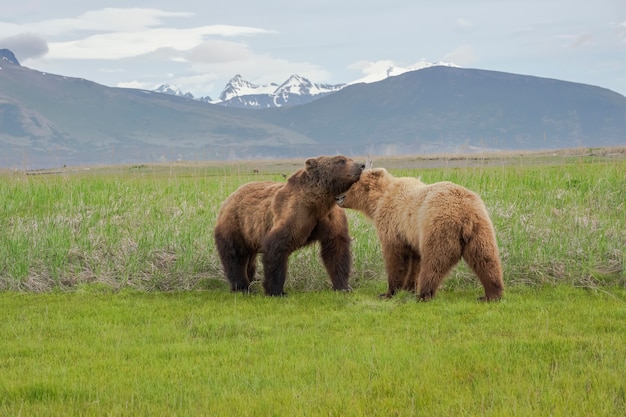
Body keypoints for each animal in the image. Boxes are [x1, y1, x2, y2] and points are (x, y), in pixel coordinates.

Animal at [212, 154, 364, 294]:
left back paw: (250, 283)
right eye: (341, 161)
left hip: (249, 235)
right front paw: (276, 290)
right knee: (235, 256)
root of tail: (230, 197)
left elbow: (336, 249)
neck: (318, 203)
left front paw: (343, 286)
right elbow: (277, 247)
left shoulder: (330, 217)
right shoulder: (294, 214)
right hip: (235, 225)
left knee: (249, 260)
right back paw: (242, 287)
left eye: (349, 159)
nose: (361, 165)